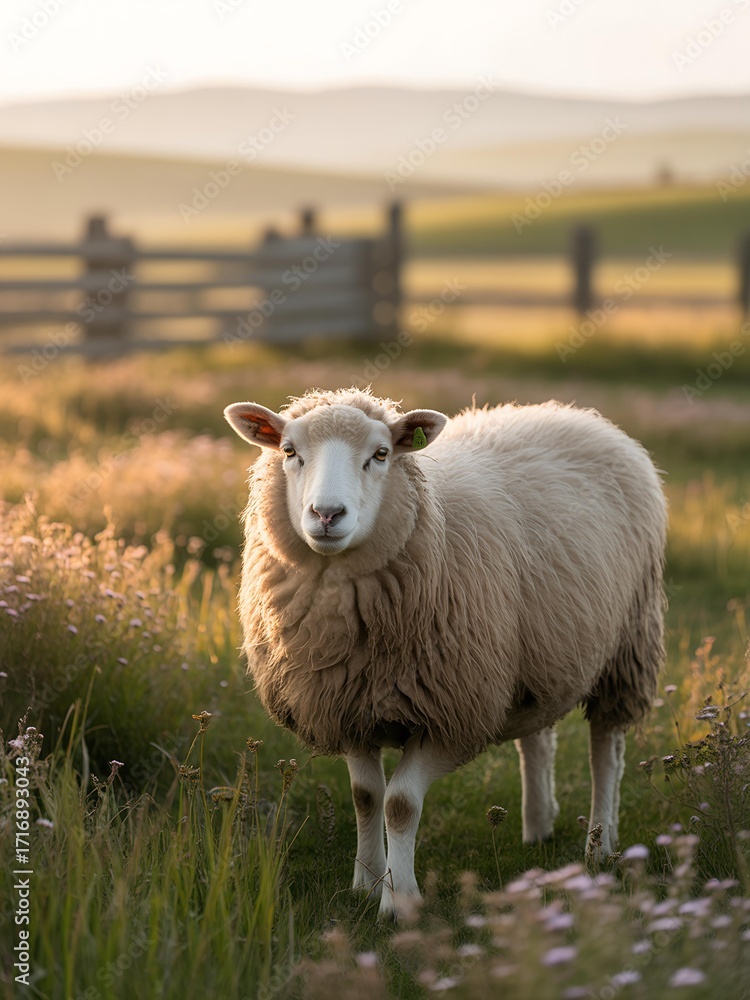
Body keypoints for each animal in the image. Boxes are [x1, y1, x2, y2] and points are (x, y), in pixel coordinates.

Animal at [224, 387, 667, 919]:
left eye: (381, 454)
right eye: (289, 451)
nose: (327, 515)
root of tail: (575, 414)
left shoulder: (454, 711)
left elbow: (399, 804)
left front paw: (399, 901)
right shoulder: (348, 703)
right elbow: (366, 796)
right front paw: (365, 882)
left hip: (626, 646)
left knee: (606, 750)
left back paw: (599, 845)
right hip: (532, 652)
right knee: (537, 738)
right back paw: (538, 826)